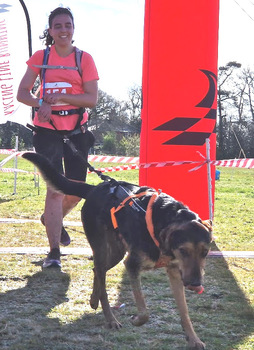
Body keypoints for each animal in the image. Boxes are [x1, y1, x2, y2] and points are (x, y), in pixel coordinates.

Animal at [22, 151, 212, 350]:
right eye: (183, 250)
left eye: (205, 252)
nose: (196, 284)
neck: (167, 219)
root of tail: (94, 189)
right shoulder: (132, 265)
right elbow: (144, 309)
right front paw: (137, 320)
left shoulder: (175, 271)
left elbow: (184, 312)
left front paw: (194, 339)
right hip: (102, 249)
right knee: (101, 279)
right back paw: (110, 318)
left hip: (116, 253)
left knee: (98, 271)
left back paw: (94, 299)